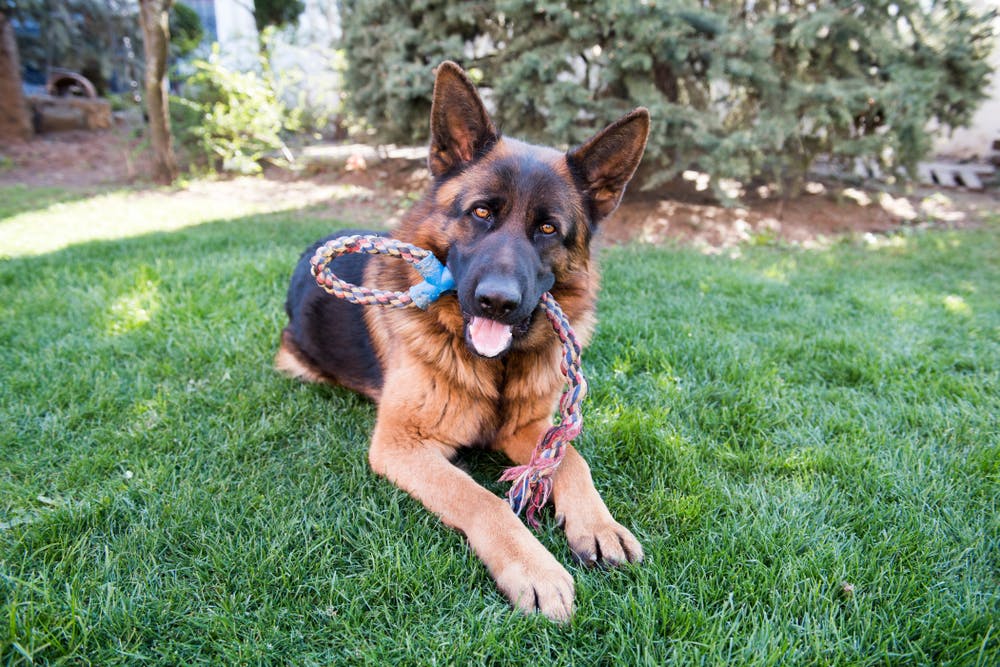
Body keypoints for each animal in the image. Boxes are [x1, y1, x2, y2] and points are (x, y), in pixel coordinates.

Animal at [276, 61, 648, 620]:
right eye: (481, 213)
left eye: (547, 229)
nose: (497, 302)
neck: (495, 365)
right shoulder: (403, 445)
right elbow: (483, 499)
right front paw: (533, 567)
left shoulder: (528, 428)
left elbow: (571, 459)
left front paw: (599, 525)